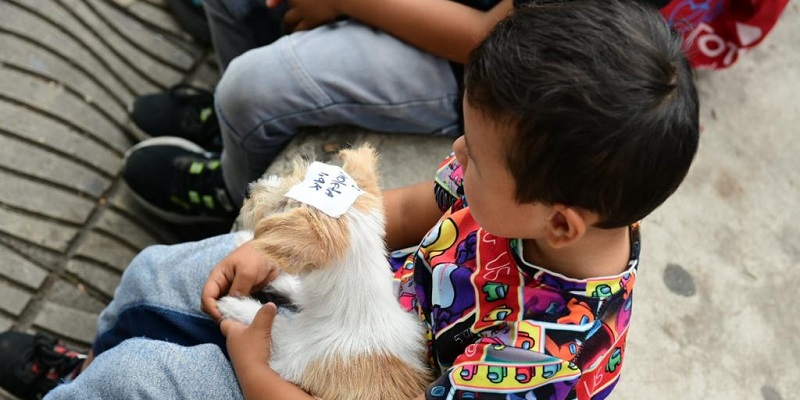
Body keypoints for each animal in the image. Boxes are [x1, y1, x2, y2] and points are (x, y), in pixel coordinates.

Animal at [217, 145, 432, 400]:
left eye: (281, 205)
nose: (250, 188)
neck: (355, 308)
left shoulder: (292, 349)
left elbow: (274, 322)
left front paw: (235, 305)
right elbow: (296, 287)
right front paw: (246, 245)